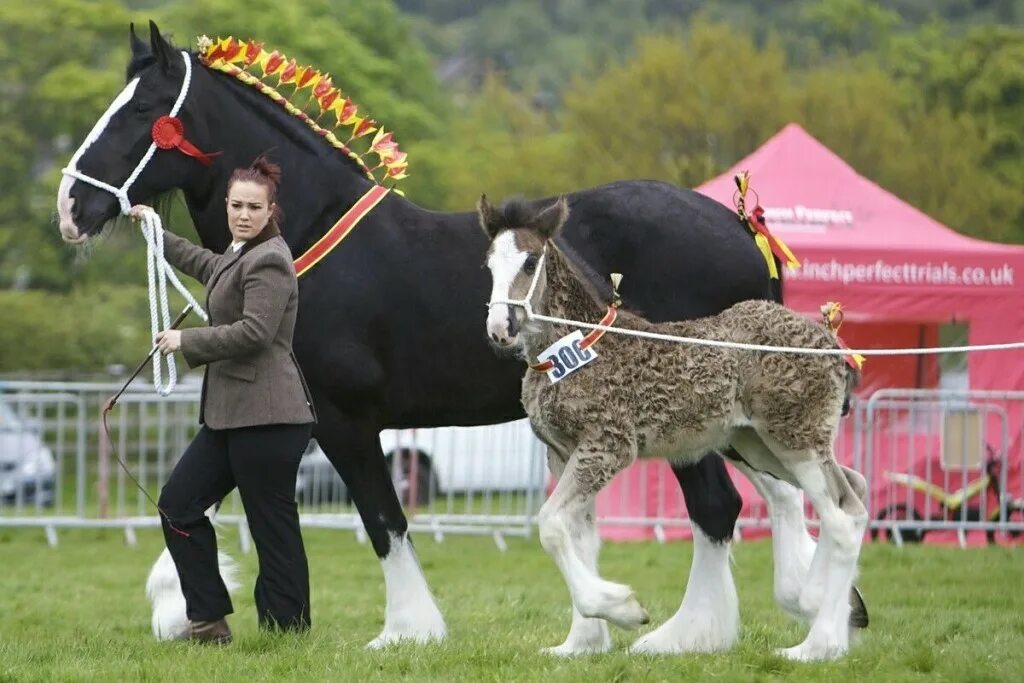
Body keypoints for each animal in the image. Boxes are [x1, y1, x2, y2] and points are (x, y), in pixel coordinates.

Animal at [54, 22, 856, 651]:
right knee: (782, 498)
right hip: (728, 420)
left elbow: (384, 520)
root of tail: (741, 226)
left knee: (725, 508)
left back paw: (690, 633)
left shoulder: (344, 420)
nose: (70, 206)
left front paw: (407, 630)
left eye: (144, 110)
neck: (311, 238)